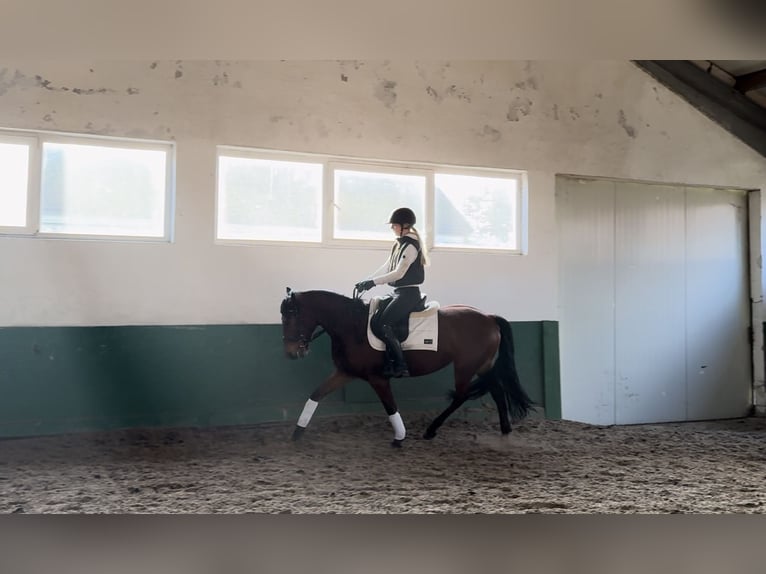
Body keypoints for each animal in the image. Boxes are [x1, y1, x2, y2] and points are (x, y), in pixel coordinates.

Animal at [280, 290, 536, 448]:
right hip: (482, 365)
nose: (291, 352)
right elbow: (316, 395)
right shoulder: (345, 373)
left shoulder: (377, 378)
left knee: (462, 395)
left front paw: (399, 438)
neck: (351, 325)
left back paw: (431, 430)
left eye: (291, 316)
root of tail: (489, 317)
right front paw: (297, 433)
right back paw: (505, 430)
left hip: (465, 366)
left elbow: (390, 406)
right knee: (497, 389)